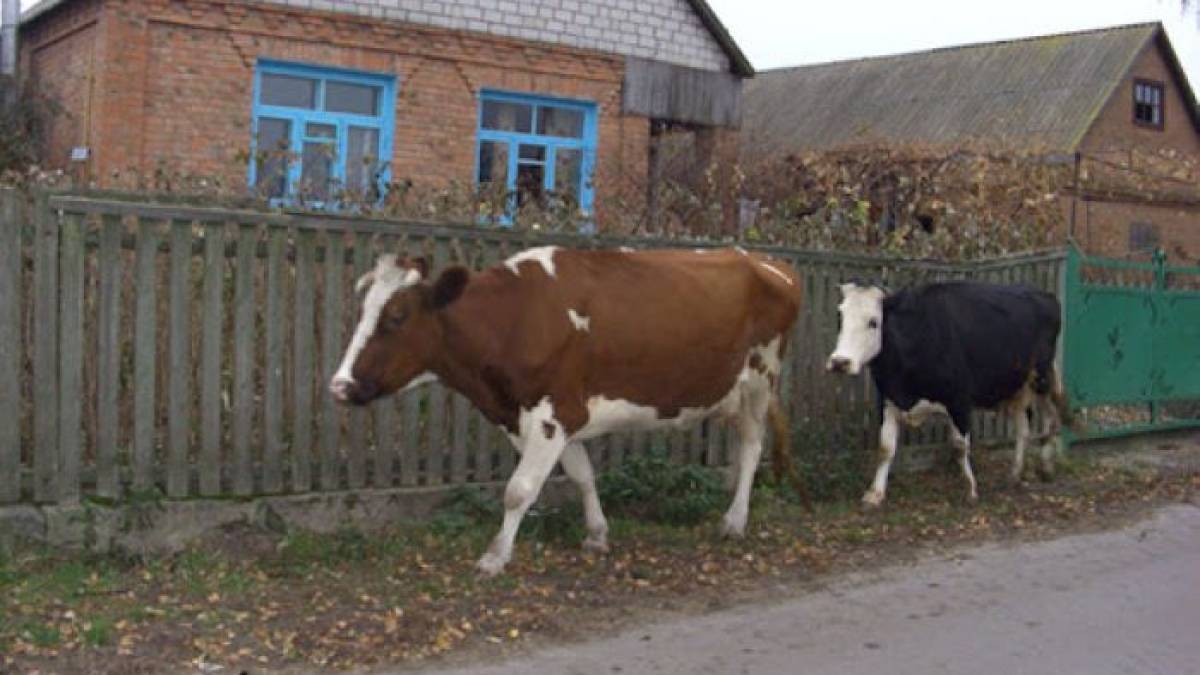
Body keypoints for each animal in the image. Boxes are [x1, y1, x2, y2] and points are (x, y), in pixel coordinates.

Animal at [330, 246, 803, 575]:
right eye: (363, 310)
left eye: (396, 316)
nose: (340, 385)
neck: (513, 318)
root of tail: (766, 261)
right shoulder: (552, 417)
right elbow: (581, 476)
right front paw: (596, 534)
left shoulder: (551, 415)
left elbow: (519, 489)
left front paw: (495, 556)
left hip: (761, 379)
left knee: (752, 447)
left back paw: (735, 521)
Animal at [826, 281, 1070, 507]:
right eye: (840, 316)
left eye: (873, 322)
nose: (840, 362)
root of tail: (1044, 294)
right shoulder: (887, 400)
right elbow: (885, 448)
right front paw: (875, 493)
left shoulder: (959, 401)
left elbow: (960, 446)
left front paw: (970, 489)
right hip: (1017, 386)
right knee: (1023, 427)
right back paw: (1015, 473)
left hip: (1041, 377)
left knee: (1051, 417)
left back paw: (1046, 467)